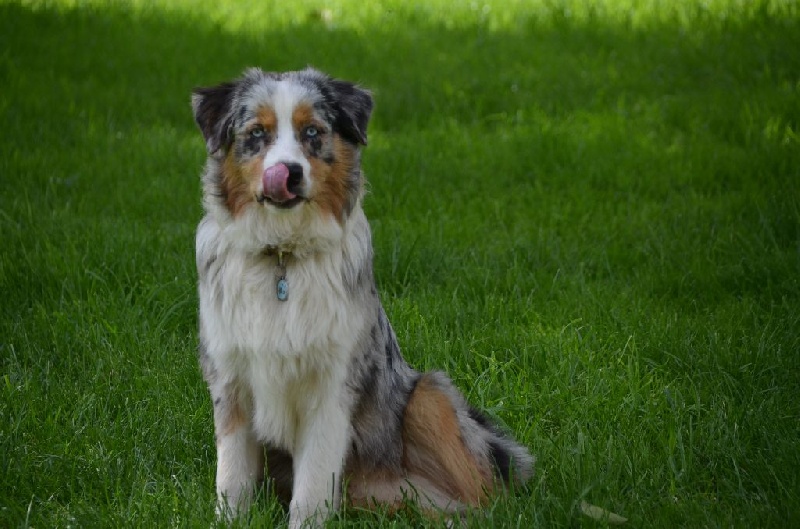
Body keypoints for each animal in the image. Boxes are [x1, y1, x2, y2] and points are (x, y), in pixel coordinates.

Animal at [191, 67, 533, 527]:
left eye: (312, 132)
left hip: (429, 395)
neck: (283, 258)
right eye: (257, 133)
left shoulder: (332, 387)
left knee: (485, 496)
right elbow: (232, 479)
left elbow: (313, 486)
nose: (288, 172)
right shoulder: (230, 382)